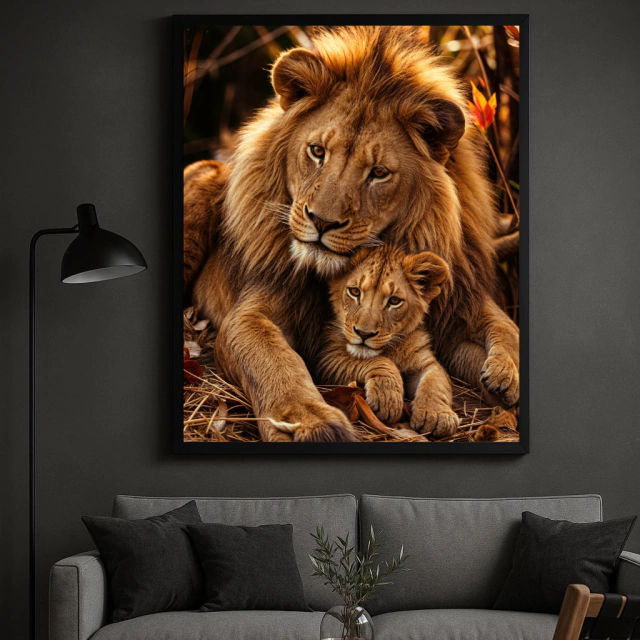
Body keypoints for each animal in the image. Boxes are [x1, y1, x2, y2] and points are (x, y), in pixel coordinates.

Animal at [316, 245, 460, 438]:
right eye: (354, 292)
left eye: (394, 301)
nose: (364, 333)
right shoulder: (327, 358)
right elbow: (379, 361)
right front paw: (387, 399)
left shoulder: (425, 361)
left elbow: (435, 381)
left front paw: (436, 414)